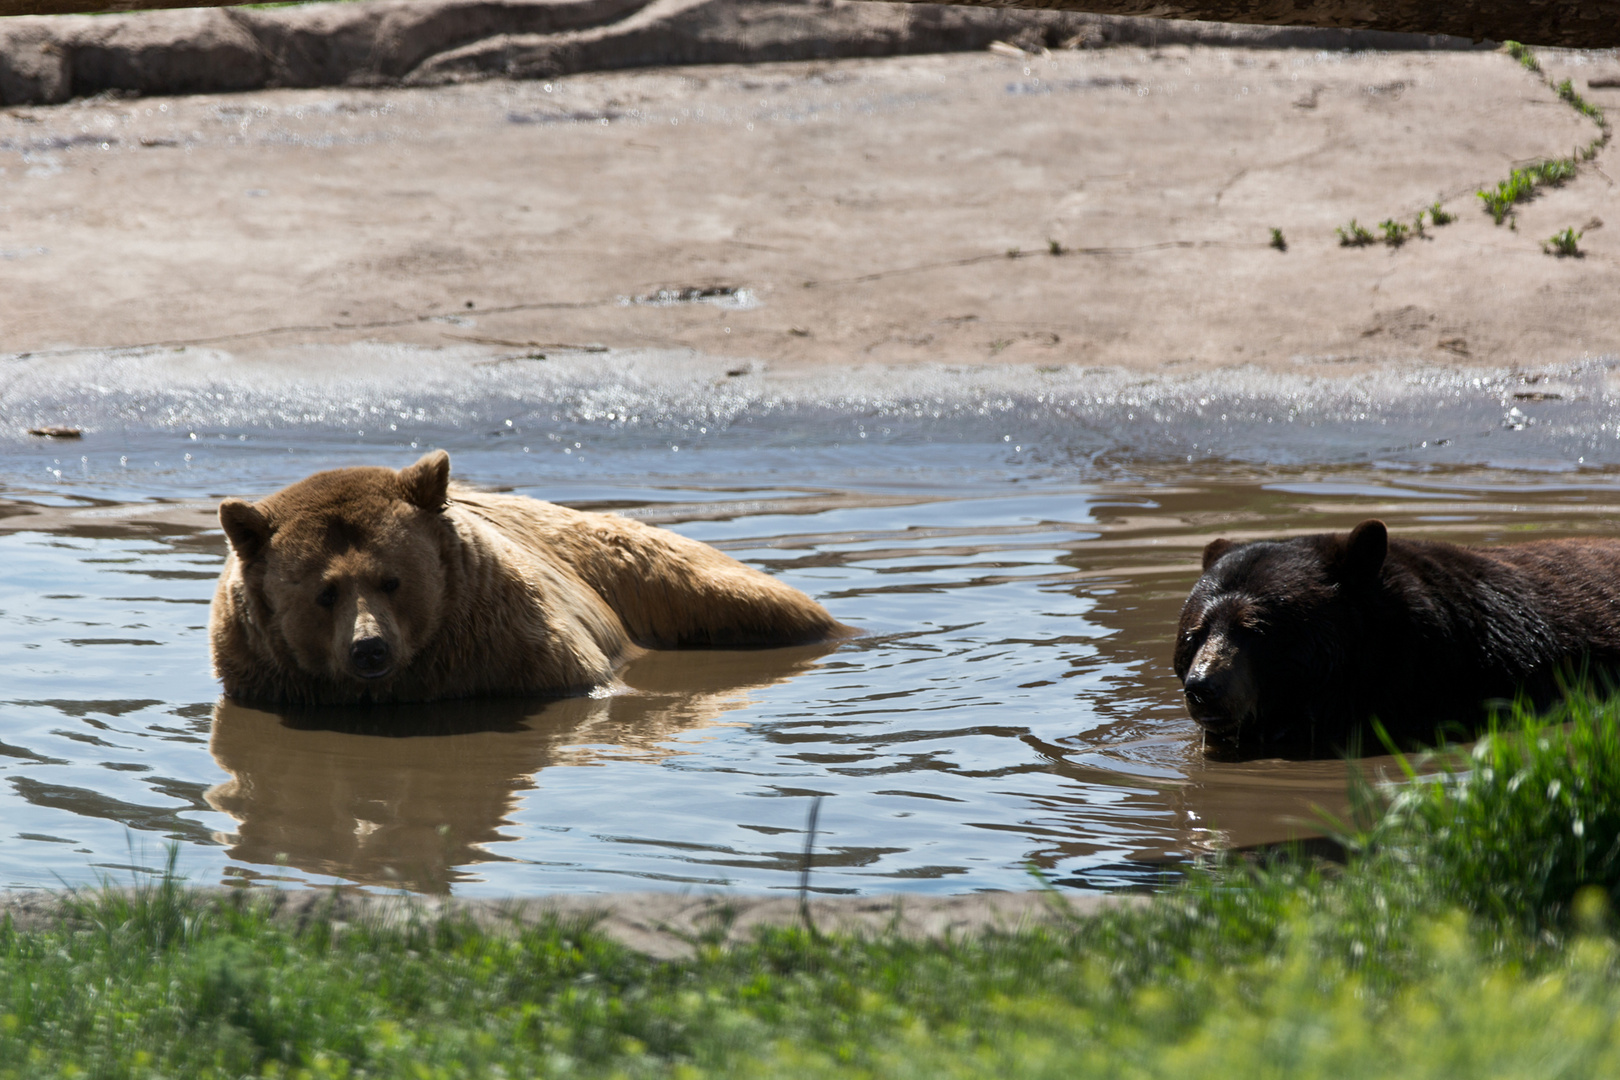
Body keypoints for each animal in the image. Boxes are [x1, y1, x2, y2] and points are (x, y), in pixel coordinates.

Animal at [208, 450, 855, 709]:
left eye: (392, 580)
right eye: (324, 592)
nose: (370, 648)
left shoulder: (513, 652)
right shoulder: (268, 678)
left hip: (646, 570)